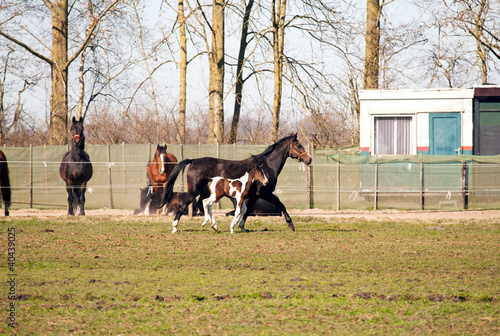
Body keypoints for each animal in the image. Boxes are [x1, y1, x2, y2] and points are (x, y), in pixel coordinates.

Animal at [159, 133, 312, 232]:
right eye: (298, 145)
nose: (309, 159)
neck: (266, 166)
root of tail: (192, 161)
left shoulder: (254, 195)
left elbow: (247, 211)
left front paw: (241, 226)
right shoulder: (265, 193)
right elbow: (281, 205)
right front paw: (291, 224)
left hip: (206, 193)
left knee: (202, 205)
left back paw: (213, 225)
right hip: (193, 192)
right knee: (185, 205)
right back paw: (175, 227)